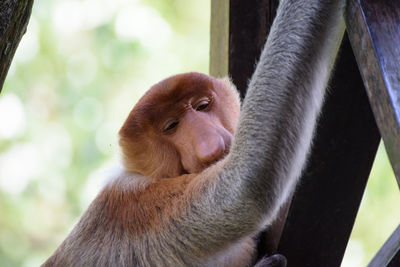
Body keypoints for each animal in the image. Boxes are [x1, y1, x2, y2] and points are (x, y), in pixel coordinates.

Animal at [43, 0, 344, 266]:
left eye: (202, 105)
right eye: (171, 126)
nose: (210, 145)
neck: (144, 173)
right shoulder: (138, 208)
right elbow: (245, 189)